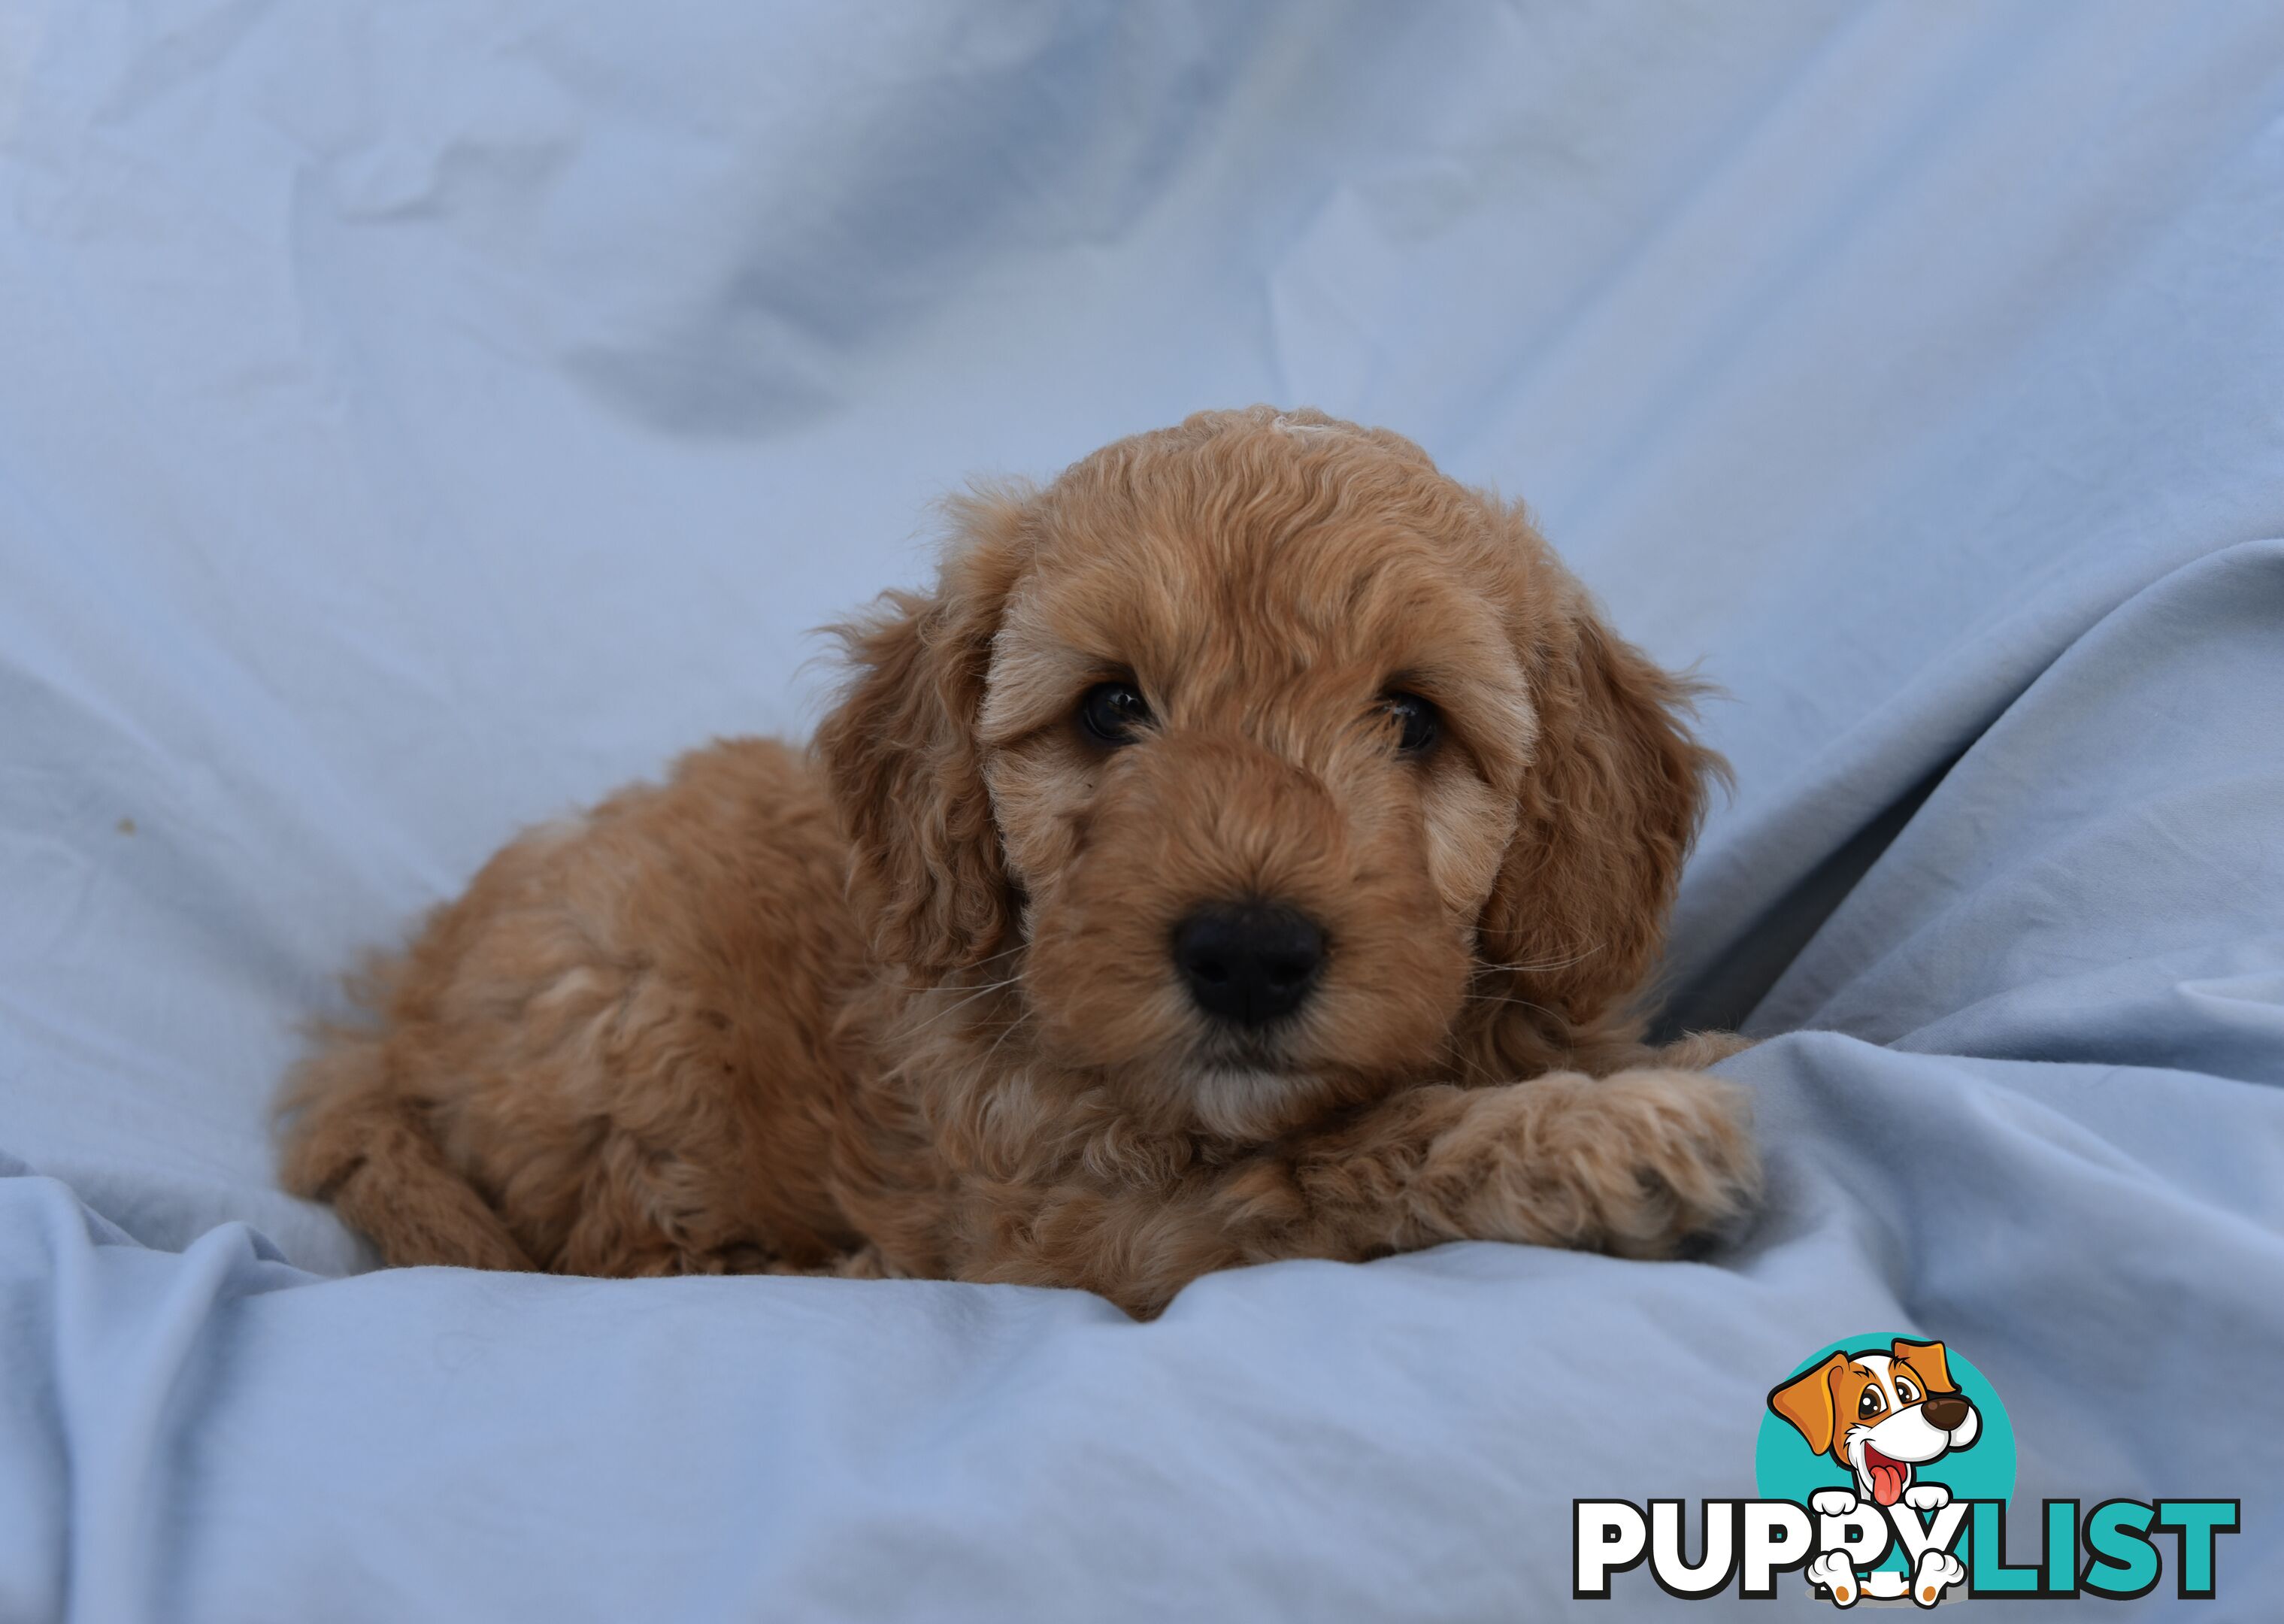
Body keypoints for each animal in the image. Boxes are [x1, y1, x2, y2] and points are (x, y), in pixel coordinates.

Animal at [276, 406, 1754, 1325]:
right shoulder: (1080, 1230)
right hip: (621, 1021)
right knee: (628, 1256)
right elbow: (1331, 1166)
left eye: (1412, 720)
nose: (1246, 953)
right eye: (1110, 708)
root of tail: (391, 1011)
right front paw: (1598, 1134)